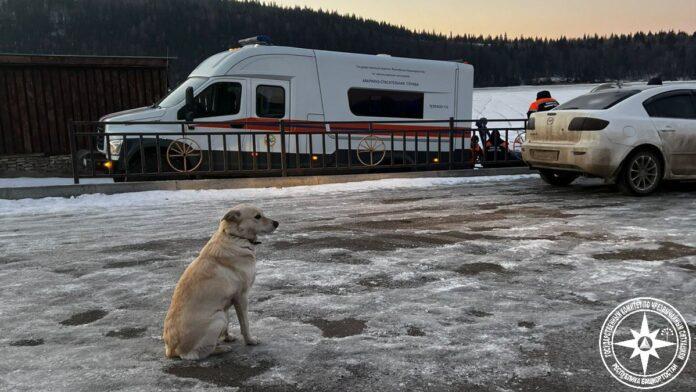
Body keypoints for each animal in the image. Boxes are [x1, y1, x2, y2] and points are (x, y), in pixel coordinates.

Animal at [162, 204, 278, 360]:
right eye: (257, 216)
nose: (277, 223)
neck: (235, 237)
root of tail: (171, 350)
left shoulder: (227, 301)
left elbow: (229, 325)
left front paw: (227, 337)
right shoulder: (241, 296)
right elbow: (245, 324)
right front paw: (250, 340)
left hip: (221, 313)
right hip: (218, 318)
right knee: (196, 354)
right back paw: (221, 349)